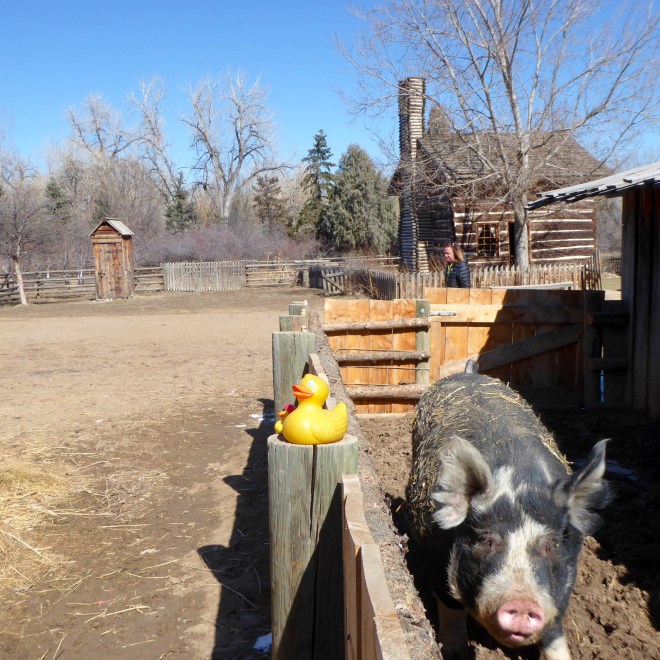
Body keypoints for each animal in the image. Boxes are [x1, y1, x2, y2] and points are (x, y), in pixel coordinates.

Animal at [406, 370, 611, 660]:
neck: (519, 480)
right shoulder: (432, 553)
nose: (522, 604)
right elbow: (451, 610)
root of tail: (468, 372)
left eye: (551, 545)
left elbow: (554, 629)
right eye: (486, 540)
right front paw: (456, 654)